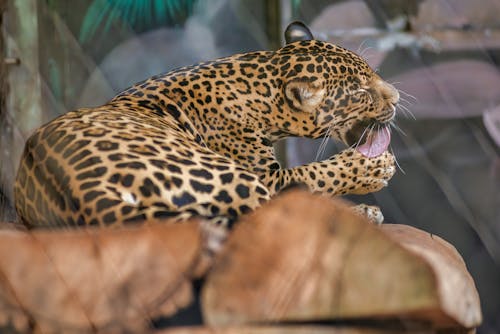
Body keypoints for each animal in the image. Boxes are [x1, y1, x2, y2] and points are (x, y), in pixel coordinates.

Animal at [12, 21, 398, 230]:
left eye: (373, 73)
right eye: (360, 91)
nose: (395, 97)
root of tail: (89, 195)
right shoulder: (268, 177)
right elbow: (316, 176)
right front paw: (373, 168)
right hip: (229, 177)